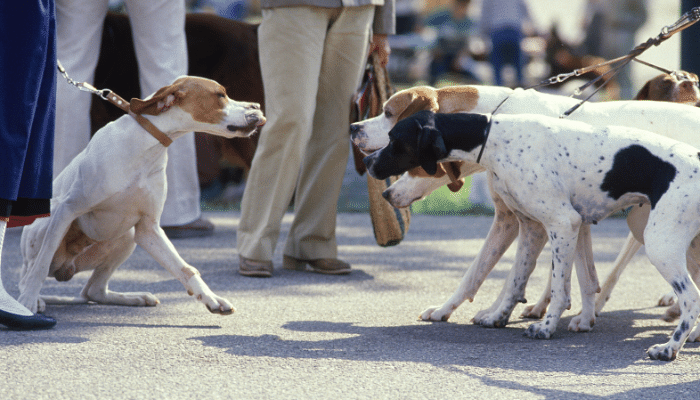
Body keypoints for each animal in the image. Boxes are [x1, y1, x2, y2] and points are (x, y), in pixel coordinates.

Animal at [19, 76, 266, 316]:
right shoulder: (68, 209)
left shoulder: (148, 229)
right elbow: (41, 263)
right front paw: (29, 301)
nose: (257, 106)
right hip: (47, 222)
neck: (148, 144)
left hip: (127, 236)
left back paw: (133, 297)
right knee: (27, 274)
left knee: (93, 291)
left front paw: (212, 298)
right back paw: (33, 298)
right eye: (220, 95)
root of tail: (66, 269)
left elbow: (185, 269)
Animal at [350, 73, 700, 336]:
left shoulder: (544, 221)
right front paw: (451, 309)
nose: (353, 128)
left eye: (388, 112)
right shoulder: (525, 220)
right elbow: (488, 272)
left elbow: (511, 275)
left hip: (649, 227)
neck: (496, 120)